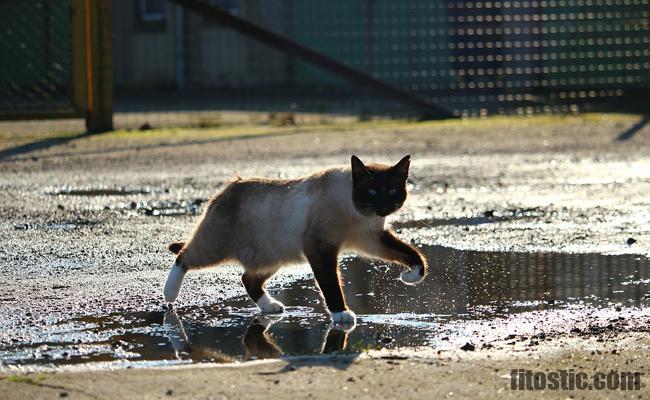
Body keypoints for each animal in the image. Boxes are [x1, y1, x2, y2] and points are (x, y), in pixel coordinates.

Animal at [162, 155, 426, 324]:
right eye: (371, 192)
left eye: (392, 192)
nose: (384, 207)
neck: (360, 215)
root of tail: (231, 184)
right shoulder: (320, 249)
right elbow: (331, 286)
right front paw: (341, 315)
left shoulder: (371, 239)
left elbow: (413, 256)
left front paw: (410, 277)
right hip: (214, 249)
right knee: (182, 257)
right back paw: (169, 296)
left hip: (272, 257)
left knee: (248, 279)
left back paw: (271, 307)